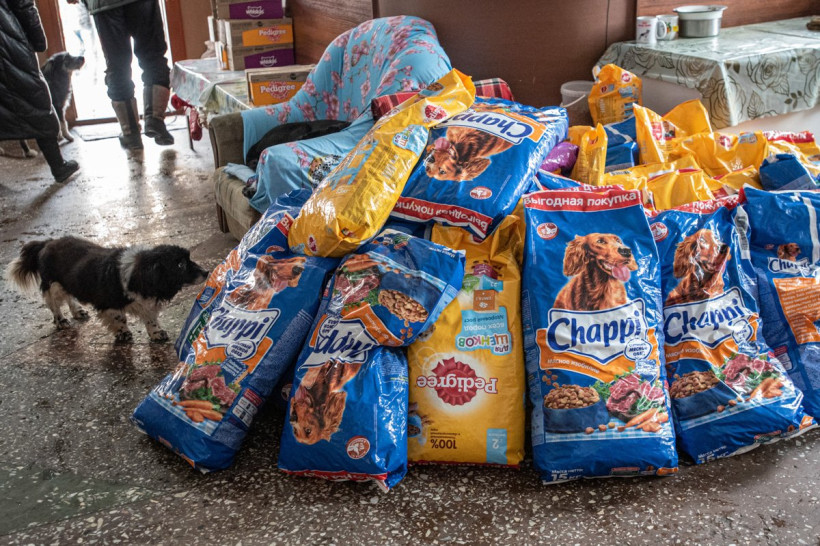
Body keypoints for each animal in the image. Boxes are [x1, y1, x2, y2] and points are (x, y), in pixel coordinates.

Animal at [6, 236, 208, 342]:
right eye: (180, 265)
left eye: (188, 258)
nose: (206, 273)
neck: (137, 274)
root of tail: (47, 242)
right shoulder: (109, 305)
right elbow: (120, 318)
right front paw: (123, 333)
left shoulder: (145, 305)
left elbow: (150, 319)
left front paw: (156, 333)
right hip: (53, 285)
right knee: (54, 305)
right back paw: (61, 320)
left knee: (70, 297)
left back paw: (78, 312)